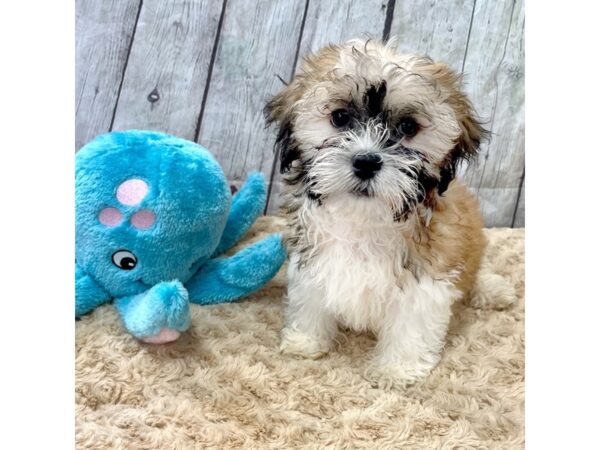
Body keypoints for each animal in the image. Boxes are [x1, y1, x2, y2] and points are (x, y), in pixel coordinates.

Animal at [266, 38, 488, 384]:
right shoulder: (312, 260)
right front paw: (306, 340)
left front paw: (398, 368)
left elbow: (412, 323)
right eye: (340, 117)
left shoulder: (427, 276)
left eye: (408, 127)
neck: (365, 219)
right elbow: (311, 299)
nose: (366, 161)